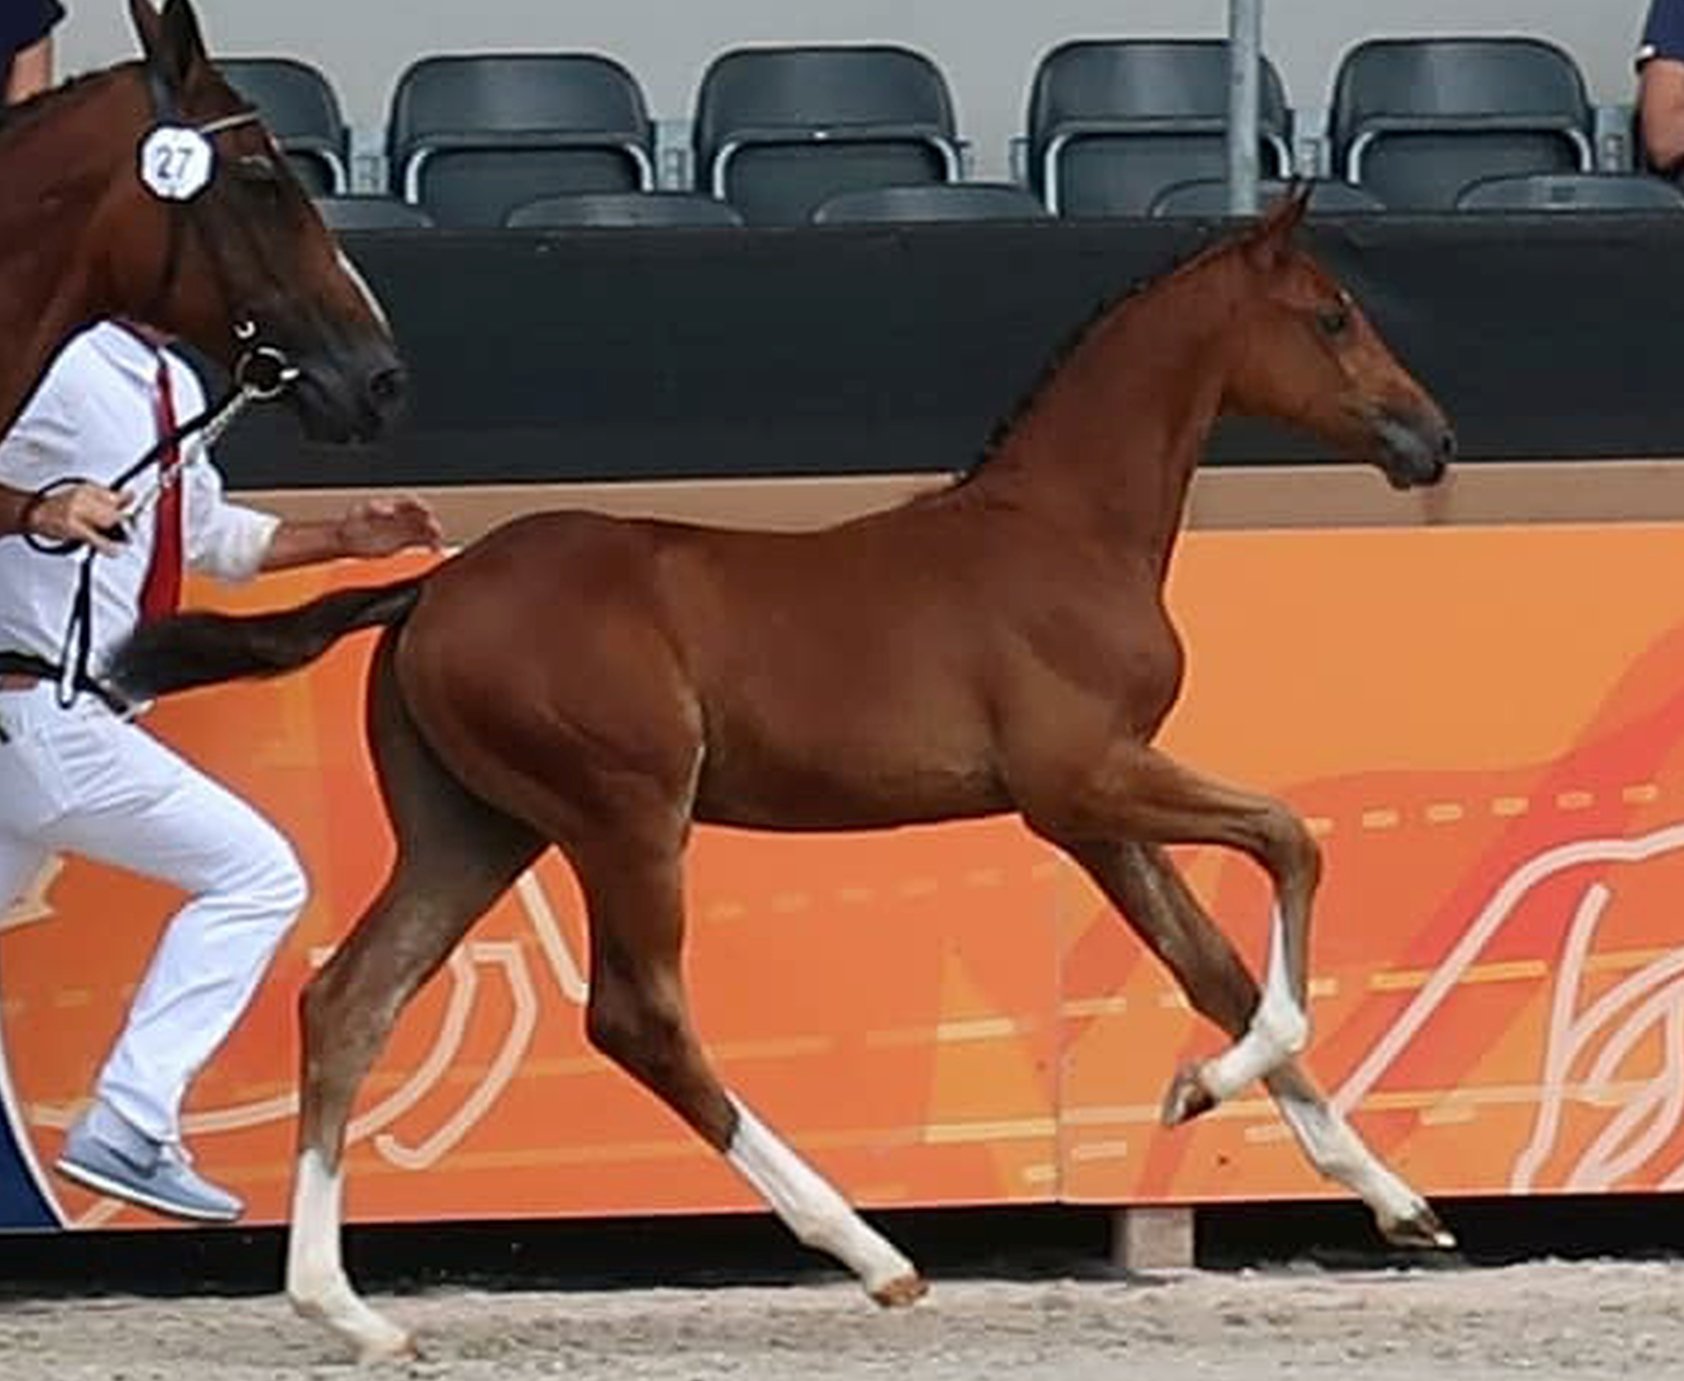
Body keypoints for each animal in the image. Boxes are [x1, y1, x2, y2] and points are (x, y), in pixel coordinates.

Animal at [115, 191, 1461, 1360]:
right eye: (1332, 315)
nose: (1431, 437)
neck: (1062, 534)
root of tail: (431, 590)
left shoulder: (1093, 816)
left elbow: (1214, 967)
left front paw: (1393, 1199)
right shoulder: (1081, 782)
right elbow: (1288, 840)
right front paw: (1197, 1092)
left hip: (476, 830)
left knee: (351, 1001)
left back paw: (349, 1313)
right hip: (625, 816)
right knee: (639, 1016)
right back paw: (869, 1251)